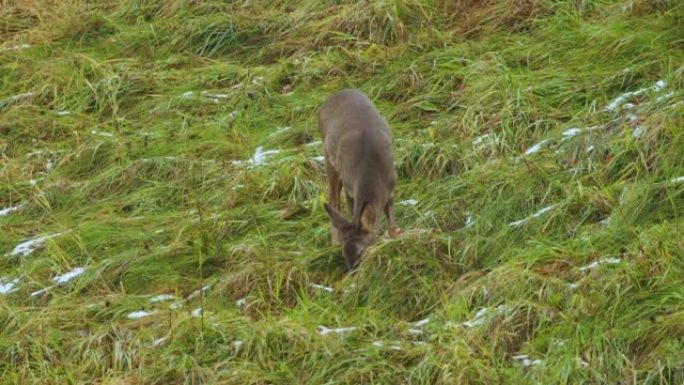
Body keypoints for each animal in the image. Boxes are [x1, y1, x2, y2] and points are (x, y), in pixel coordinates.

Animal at [318, 88, 398, 268]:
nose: (352, 271)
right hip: (328, 158)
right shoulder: (350, 189)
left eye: (361, 251)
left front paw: (395, 240)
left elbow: (391, 221)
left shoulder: (391, 187)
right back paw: (332, 246)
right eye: (344, 254)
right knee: (333, 199)